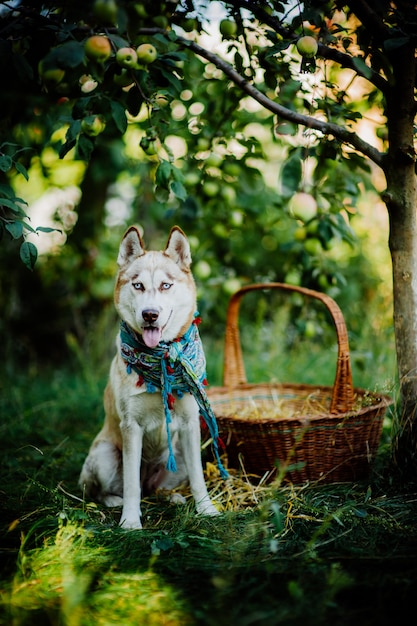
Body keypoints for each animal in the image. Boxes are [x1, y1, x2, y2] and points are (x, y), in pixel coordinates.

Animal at [79, 224, 221, 528]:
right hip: (105, 454)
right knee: (105, 489)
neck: (162, 359)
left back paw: (173, 497)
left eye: (166, 285)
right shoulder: (131, 427)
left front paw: (206, 509)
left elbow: (198, 479)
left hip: (176, 456)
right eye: (138, 285)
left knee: (158, 488)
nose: (150, 314)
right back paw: (114, 501)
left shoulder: (190, 424)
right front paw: (130, 522)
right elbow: (131, 485)